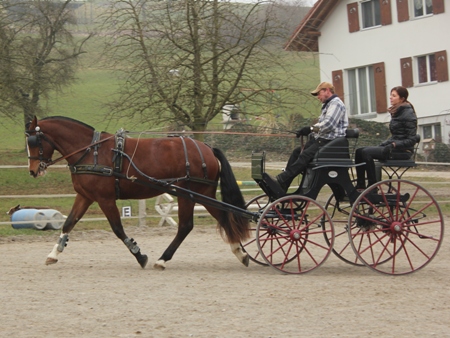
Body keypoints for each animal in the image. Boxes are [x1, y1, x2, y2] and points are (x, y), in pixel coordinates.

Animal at [25, 116, 250, 270]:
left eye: (34, 141)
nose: (33, 170)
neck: (90, 151)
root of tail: (207, 149)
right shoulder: (86, 196)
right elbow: (69, 223)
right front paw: (54, 253)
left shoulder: (105, 199)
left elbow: (117, 228)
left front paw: (139, 255)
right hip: (203, 195)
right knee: (222, 218)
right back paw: (240, 252)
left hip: (190, 194)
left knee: (188, 226)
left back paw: (163, 259)